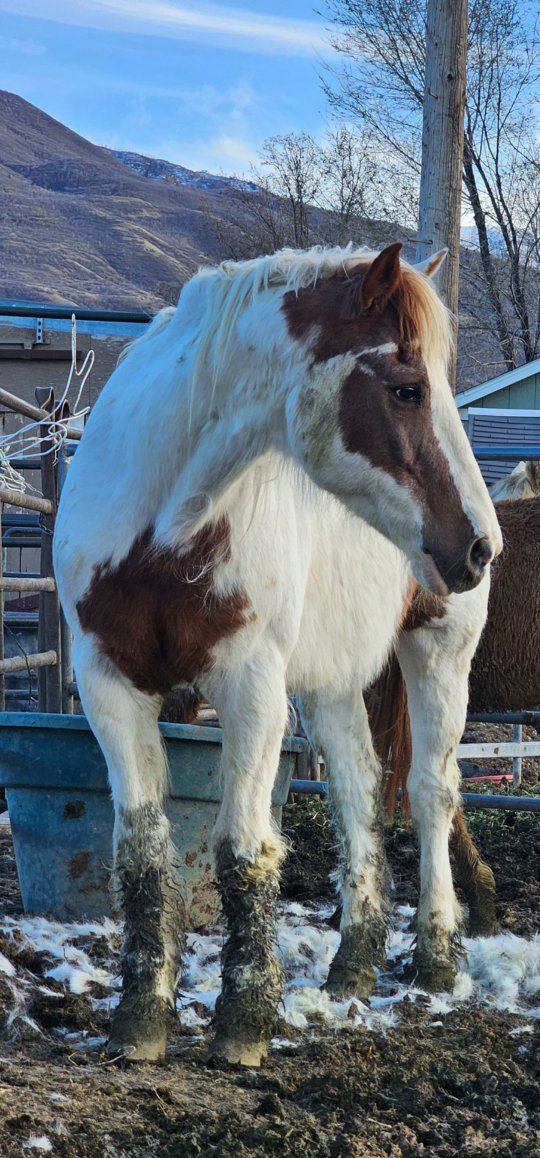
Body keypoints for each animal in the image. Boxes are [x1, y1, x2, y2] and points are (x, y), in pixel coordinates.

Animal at [53, 242, 501, 1067]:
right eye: (407, 388)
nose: (480, 546)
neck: (163, 525)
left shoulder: (251, 685)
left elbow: (244, 848)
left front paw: (244, 1021)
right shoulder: (108, 684)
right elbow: (142, 847)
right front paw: (140, 1018)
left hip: (438, 654)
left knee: (431, 791)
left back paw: (436, 956)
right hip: (332, 680)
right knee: (359, 784)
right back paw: (353, 964)